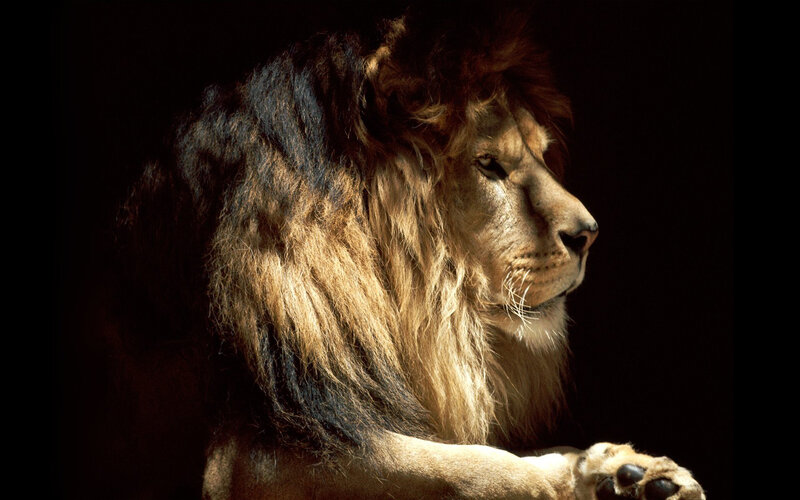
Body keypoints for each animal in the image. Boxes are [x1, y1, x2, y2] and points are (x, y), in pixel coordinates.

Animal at [117, 5, 705, 499]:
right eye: (488, 164)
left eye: (541, 154)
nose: (588, 233)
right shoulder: (242, 459)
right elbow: (469, 464)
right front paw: (577, 479)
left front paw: (625, 472)